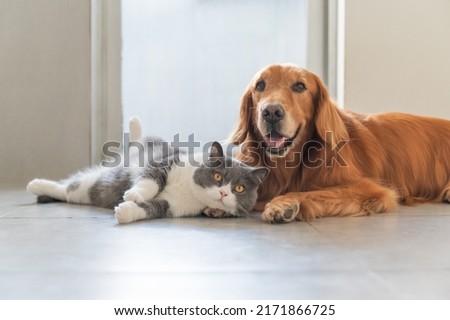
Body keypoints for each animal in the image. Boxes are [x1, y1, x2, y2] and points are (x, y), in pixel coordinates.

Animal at [26, 116, 268, 224]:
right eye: (218, 176)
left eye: (239, 189)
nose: (223, 192)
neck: (189, 189)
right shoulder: (164, 163)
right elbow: (150, 181)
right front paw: (134, 194)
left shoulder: (172, 206)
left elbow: (152, 208)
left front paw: (126, 211)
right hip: (92, 183)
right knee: (65, 188)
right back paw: (35, 184)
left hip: (87, 192)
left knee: (66, 190)